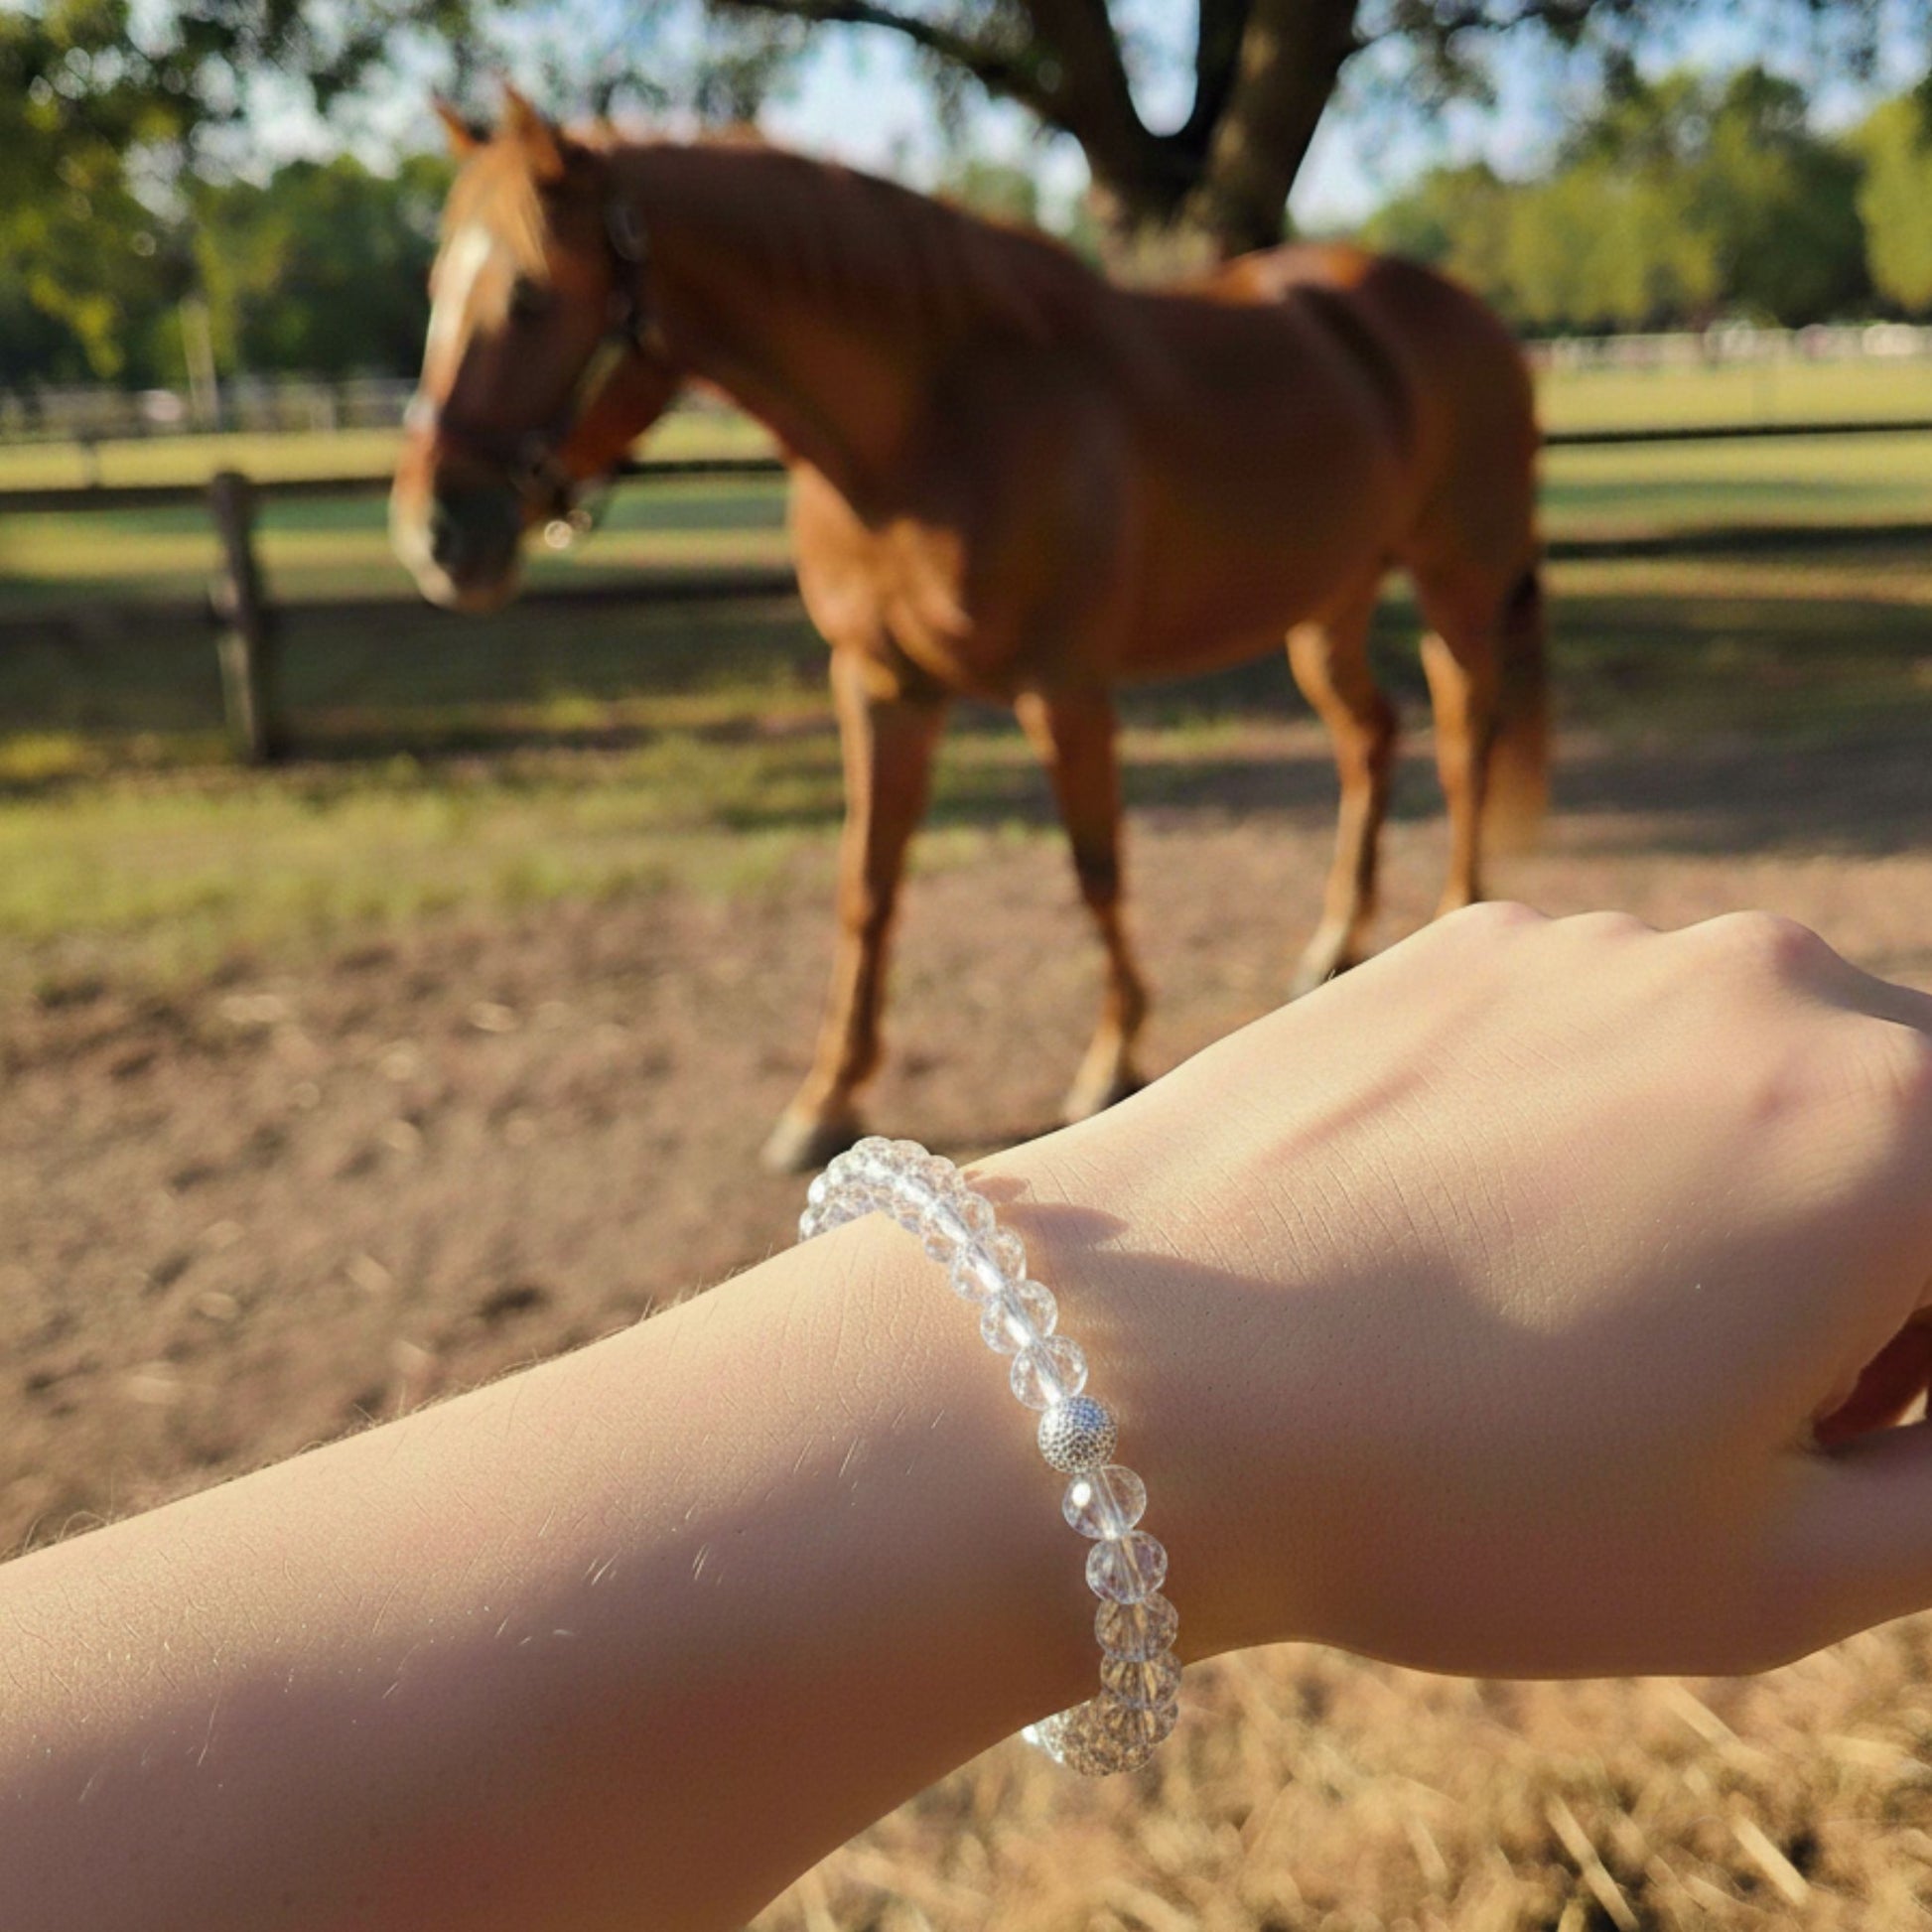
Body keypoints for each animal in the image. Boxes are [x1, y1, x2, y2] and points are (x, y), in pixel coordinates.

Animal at [391, 90, 1547, 1173]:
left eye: (529, 293)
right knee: (1371, 738)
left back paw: (1456, 914)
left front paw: (1111, 1059)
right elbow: (867, 883)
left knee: (1462, 739)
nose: (434, 534)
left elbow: (1096, 868)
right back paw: (1333, 944)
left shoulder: (1063, 689)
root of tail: (1471, 318)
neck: (927, 423)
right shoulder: (878, 683)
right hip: (1325, 609)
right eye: (436, 288)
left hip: (1455, 586)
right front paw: (827, 1096)